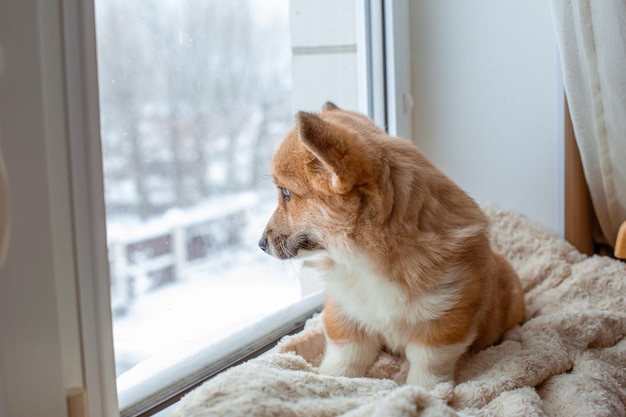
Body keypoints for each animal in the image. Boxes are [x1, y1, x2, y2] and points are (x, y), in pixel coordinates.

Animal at [256, 101, 524, 386]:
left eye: (286, 194)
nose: (260, 244)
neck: (367, 261)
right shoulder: (346, 311)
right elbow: (346, 356)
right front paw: (333, 379)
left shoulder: (444, 321)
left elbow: (428, 368)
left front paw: (423, 390)